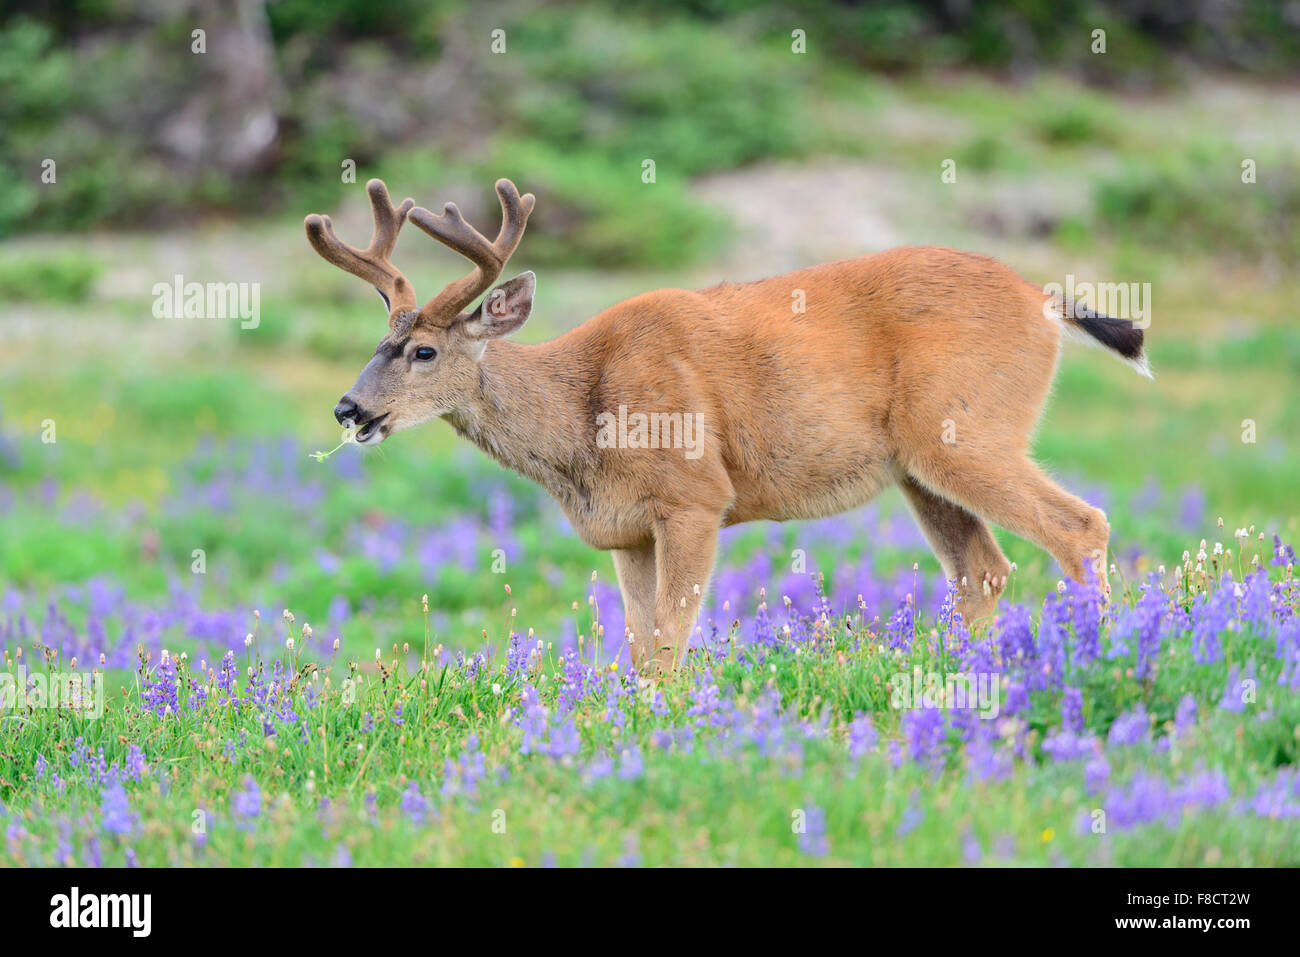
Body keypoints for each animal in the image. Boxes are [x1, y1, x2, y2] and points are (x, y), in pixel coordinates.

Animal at [304, 178, 1150, 674]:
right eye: (376, 342)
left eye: (423, 350)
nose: (349, 408)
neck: (584, 416)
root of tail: (1045, 300)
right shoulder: (627, 531)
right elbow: (640, 646)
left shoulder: (694, 494)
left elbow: (672, 637)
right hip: (919, 465)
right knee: (982, 568)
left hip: (967, 428)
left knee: (1080, 524)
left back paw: (1103, 654)